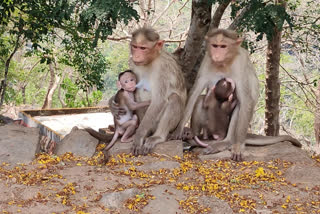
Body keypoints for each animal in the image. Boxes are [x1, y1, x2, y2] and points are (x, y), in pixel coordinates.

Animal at [112, 27, 188, 156]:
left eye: (143, 48)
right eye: (135, 46)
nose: (137, 56)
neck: (151, 60)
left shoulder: (163, 67)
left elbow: (159, 100)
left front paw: (139, 136)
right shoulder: (133, 63)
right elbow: (134, 92)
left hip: (172, 124)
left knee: (174, 98)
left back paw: (158, 137)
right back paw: (147, 132)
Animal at [172, 28, 300, 162]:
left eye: (223, 46)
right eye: (215, 46)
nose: (217, 55)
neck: (225, 62)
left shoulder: (240, 64)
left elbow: (246, 100)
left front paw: (238, 146)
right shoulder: (207, 59)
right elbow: (195, 92)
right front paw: (179, 129)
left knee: (239, 106)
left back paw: (227, 142)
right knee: (200, 100)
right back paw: (194, 137)